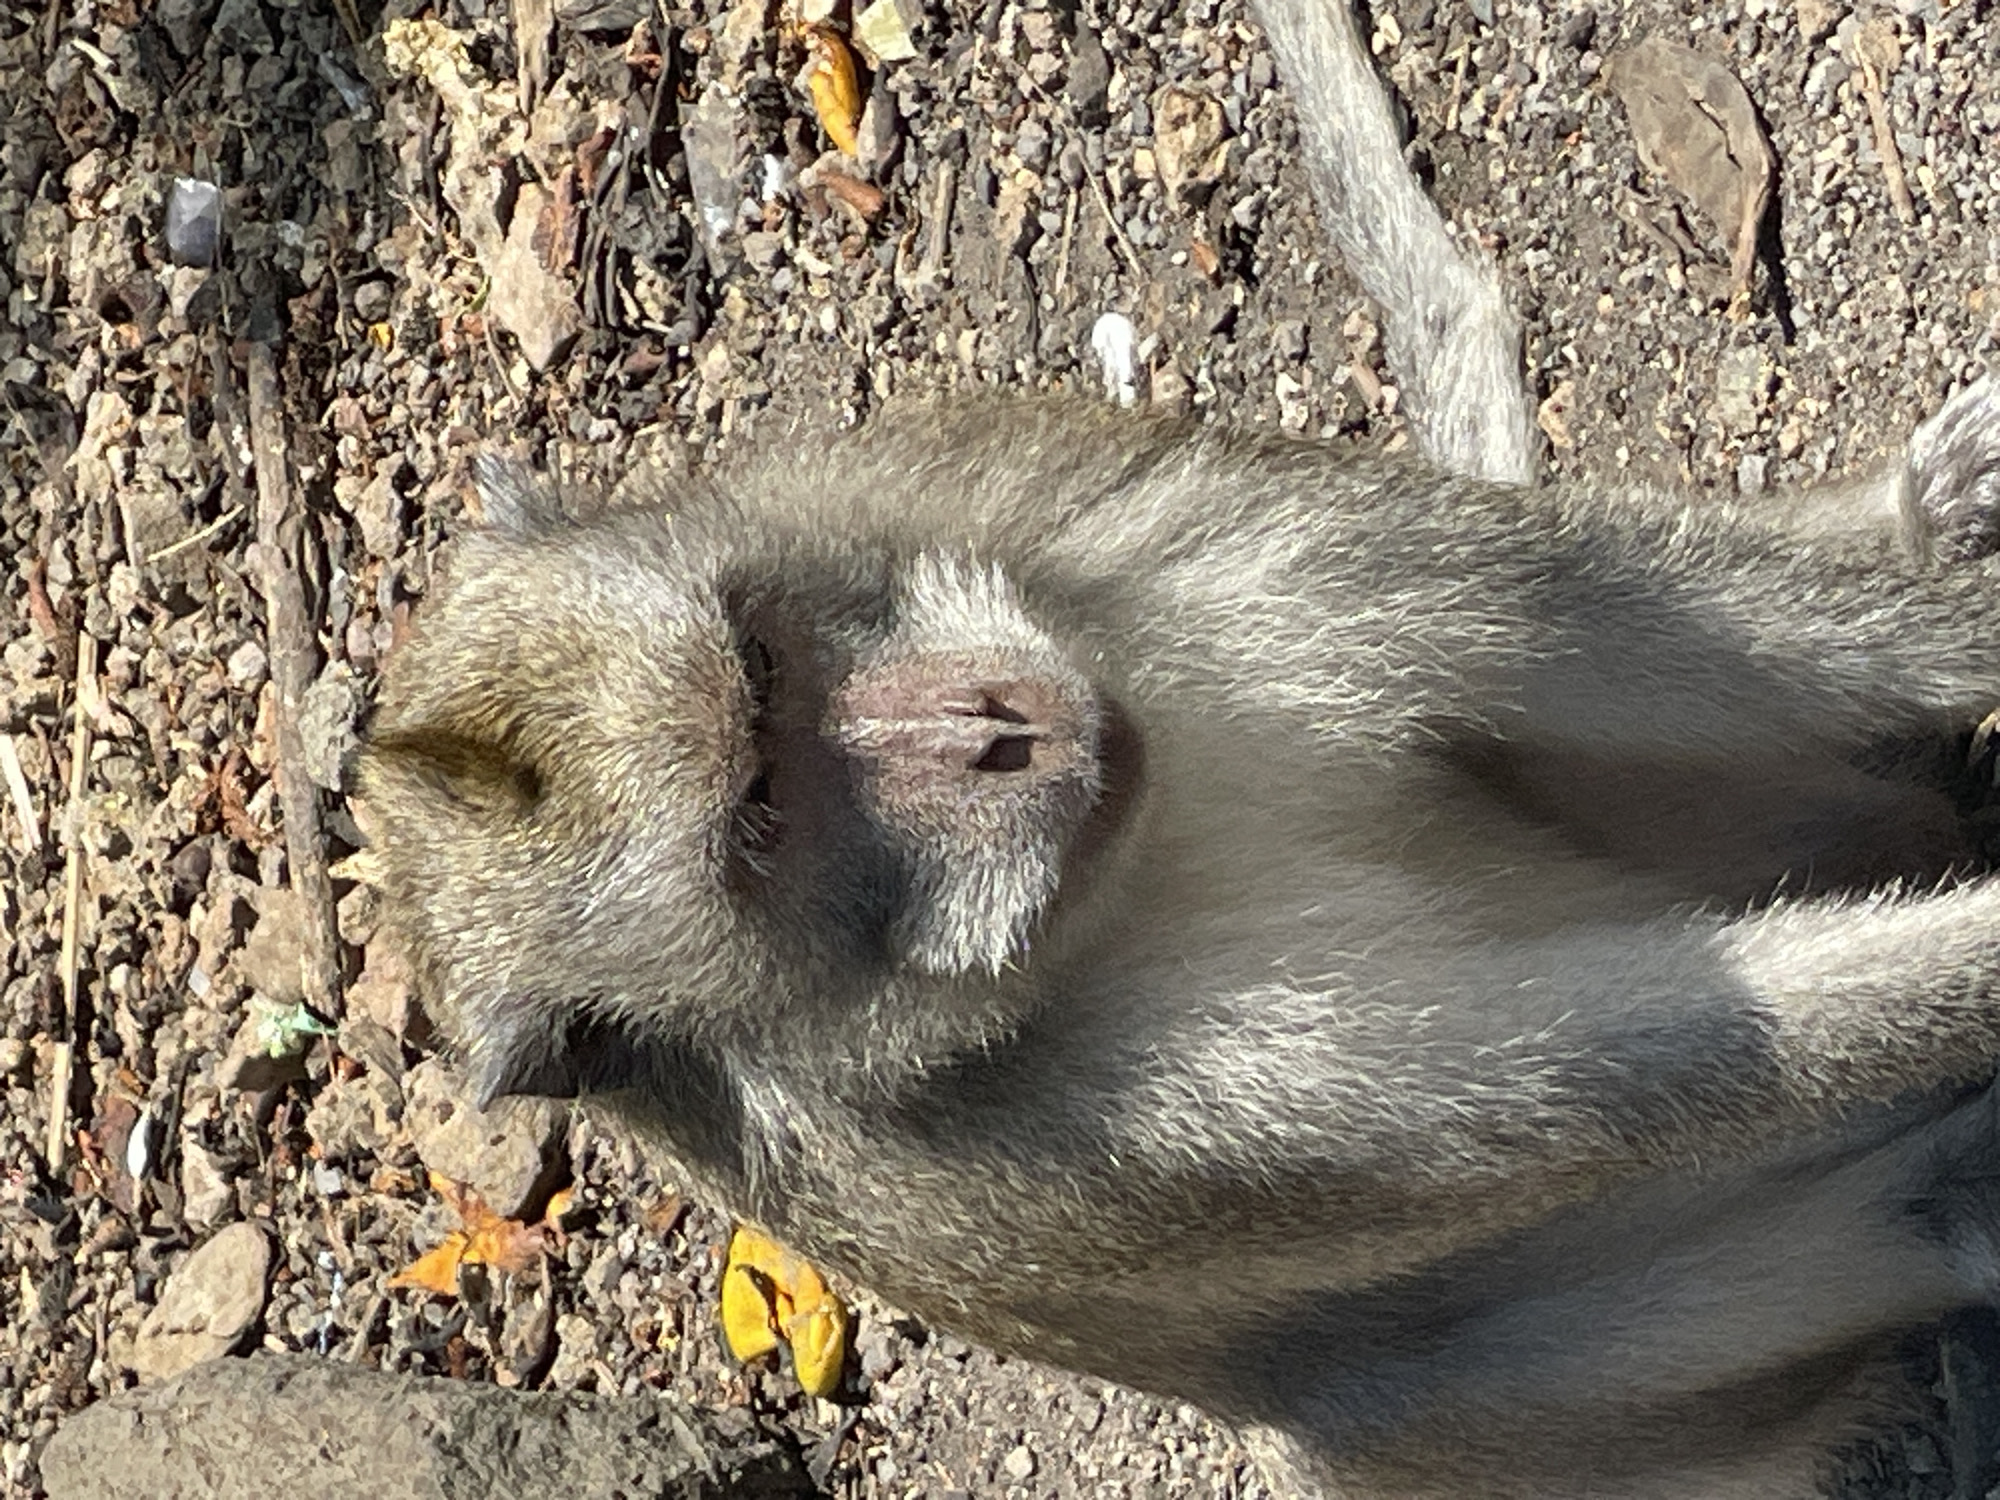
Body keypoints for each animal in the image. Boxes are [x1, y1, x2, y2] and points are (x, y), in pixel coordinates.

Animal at [356, 379, 2000, 1500]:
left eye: (763, 651)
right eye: (758, 811)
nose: (996, 730)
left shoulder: (1086, 508)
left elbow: (1654, 625)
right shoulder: (1085, 1130)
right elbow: (1646, 1064)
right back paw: (1940, 1202)